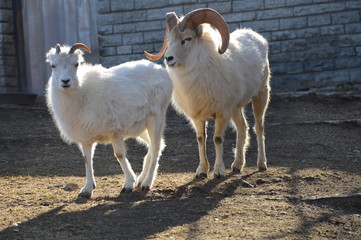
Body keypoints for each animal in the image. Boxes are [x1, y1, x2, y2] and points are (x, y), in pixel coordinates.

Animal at [45, 42, 172, 197]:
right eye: (53, 65)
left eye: (76, 64)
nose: (65, 81)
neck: (82, 95)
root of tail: (161, 71)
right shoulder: (86, 140)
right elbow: (87, 160)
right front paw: (87, 189)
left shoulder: (115, 132)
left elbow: (119, 155)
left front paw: (128, 184)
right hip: (141, 128)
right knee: (155, 146)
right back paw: (141, 179)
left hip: (156, 119)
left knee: (156, 147)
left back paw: (146, 184)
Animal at [145, 8, 268, 178]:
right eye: (170, 40)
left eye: (187, 39)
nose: (168, 58)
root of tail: (256, 37)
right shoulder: (197, 116)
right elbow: (201, 139)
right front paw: (202, 171)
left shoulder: (222, 113)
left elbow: (217, 139)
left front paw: (218, 171)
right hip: (236, 108)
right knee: (243, 128)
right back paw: (237, 165)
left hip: (261, 95)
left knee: (259, 127)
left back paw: (261, 164)